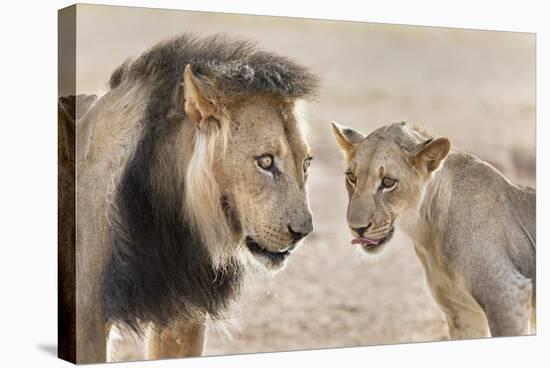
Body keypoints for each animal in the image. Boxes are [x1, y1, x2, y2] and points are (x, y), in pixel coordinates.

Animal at [332, 121, 536, 340]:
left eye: (387, 182)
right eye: (352, 178)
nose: (356, 228)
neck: (427, 233)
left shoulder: (506, 294)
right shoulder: (461, 311)